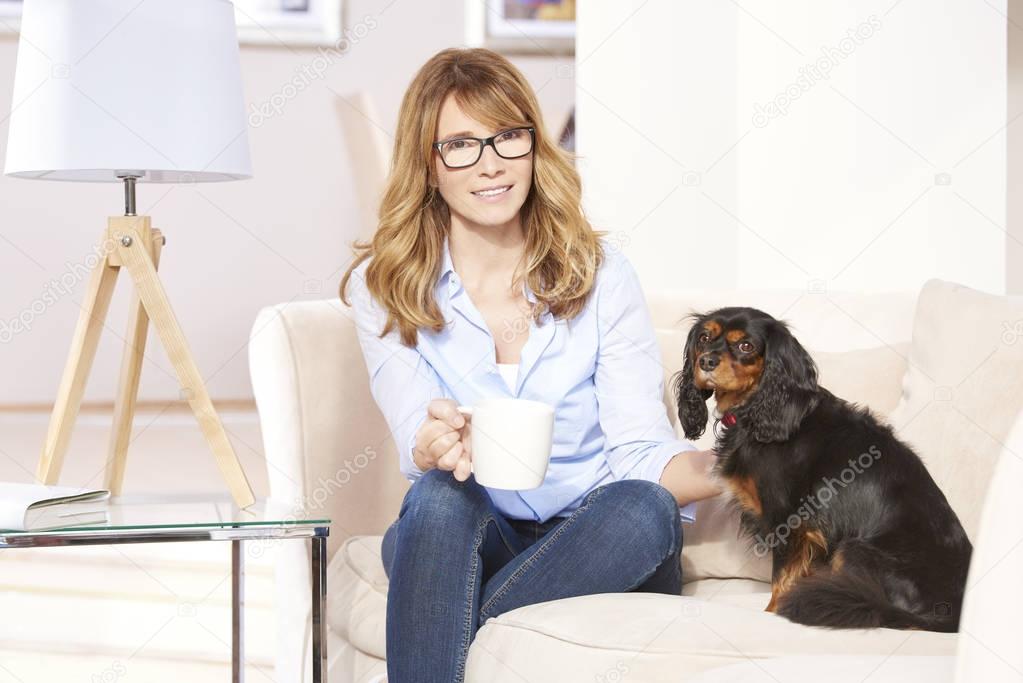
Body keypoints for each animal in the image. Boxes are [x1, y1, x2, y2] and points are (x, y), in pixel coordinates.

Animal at [675, 306, 969, 633]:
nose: (706, 361)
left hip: (853, 550)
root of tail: (951, 613)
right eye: (704, 338)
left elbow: (781, 580)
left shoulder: (788, 521)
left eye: (746, 346)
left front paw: (773, 613)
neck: (762, 411)